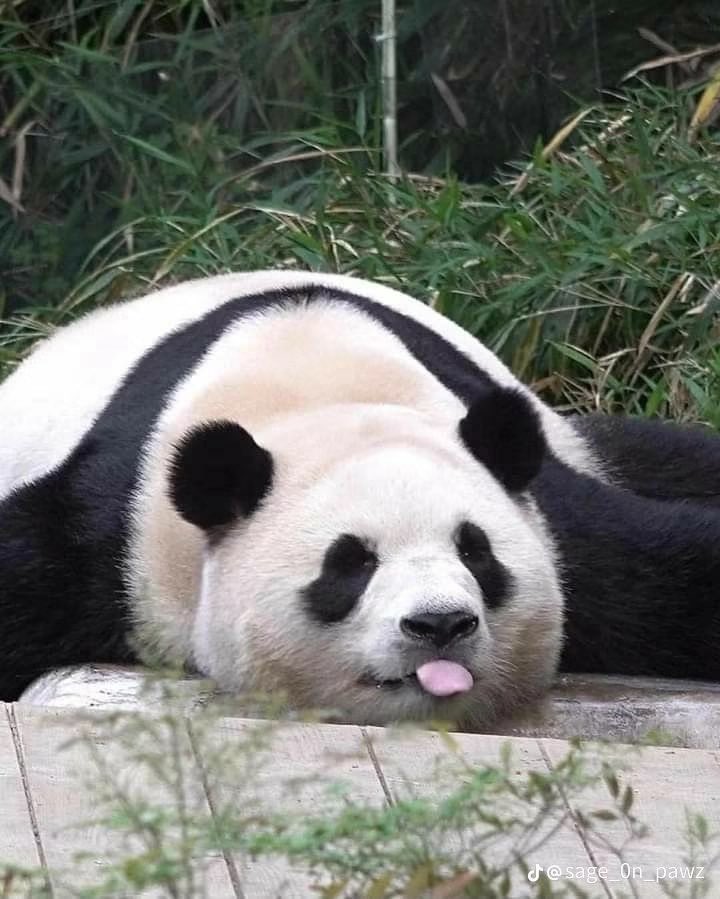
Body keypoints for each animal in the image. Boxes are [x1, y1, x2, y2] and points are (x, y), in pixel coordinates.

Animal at [1, 271, 719, 729]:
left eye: (476, 551)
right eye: (350, 563)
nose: (440, 624)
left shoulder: (556, 519)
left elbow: (665, 569)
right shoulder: (118, 528)